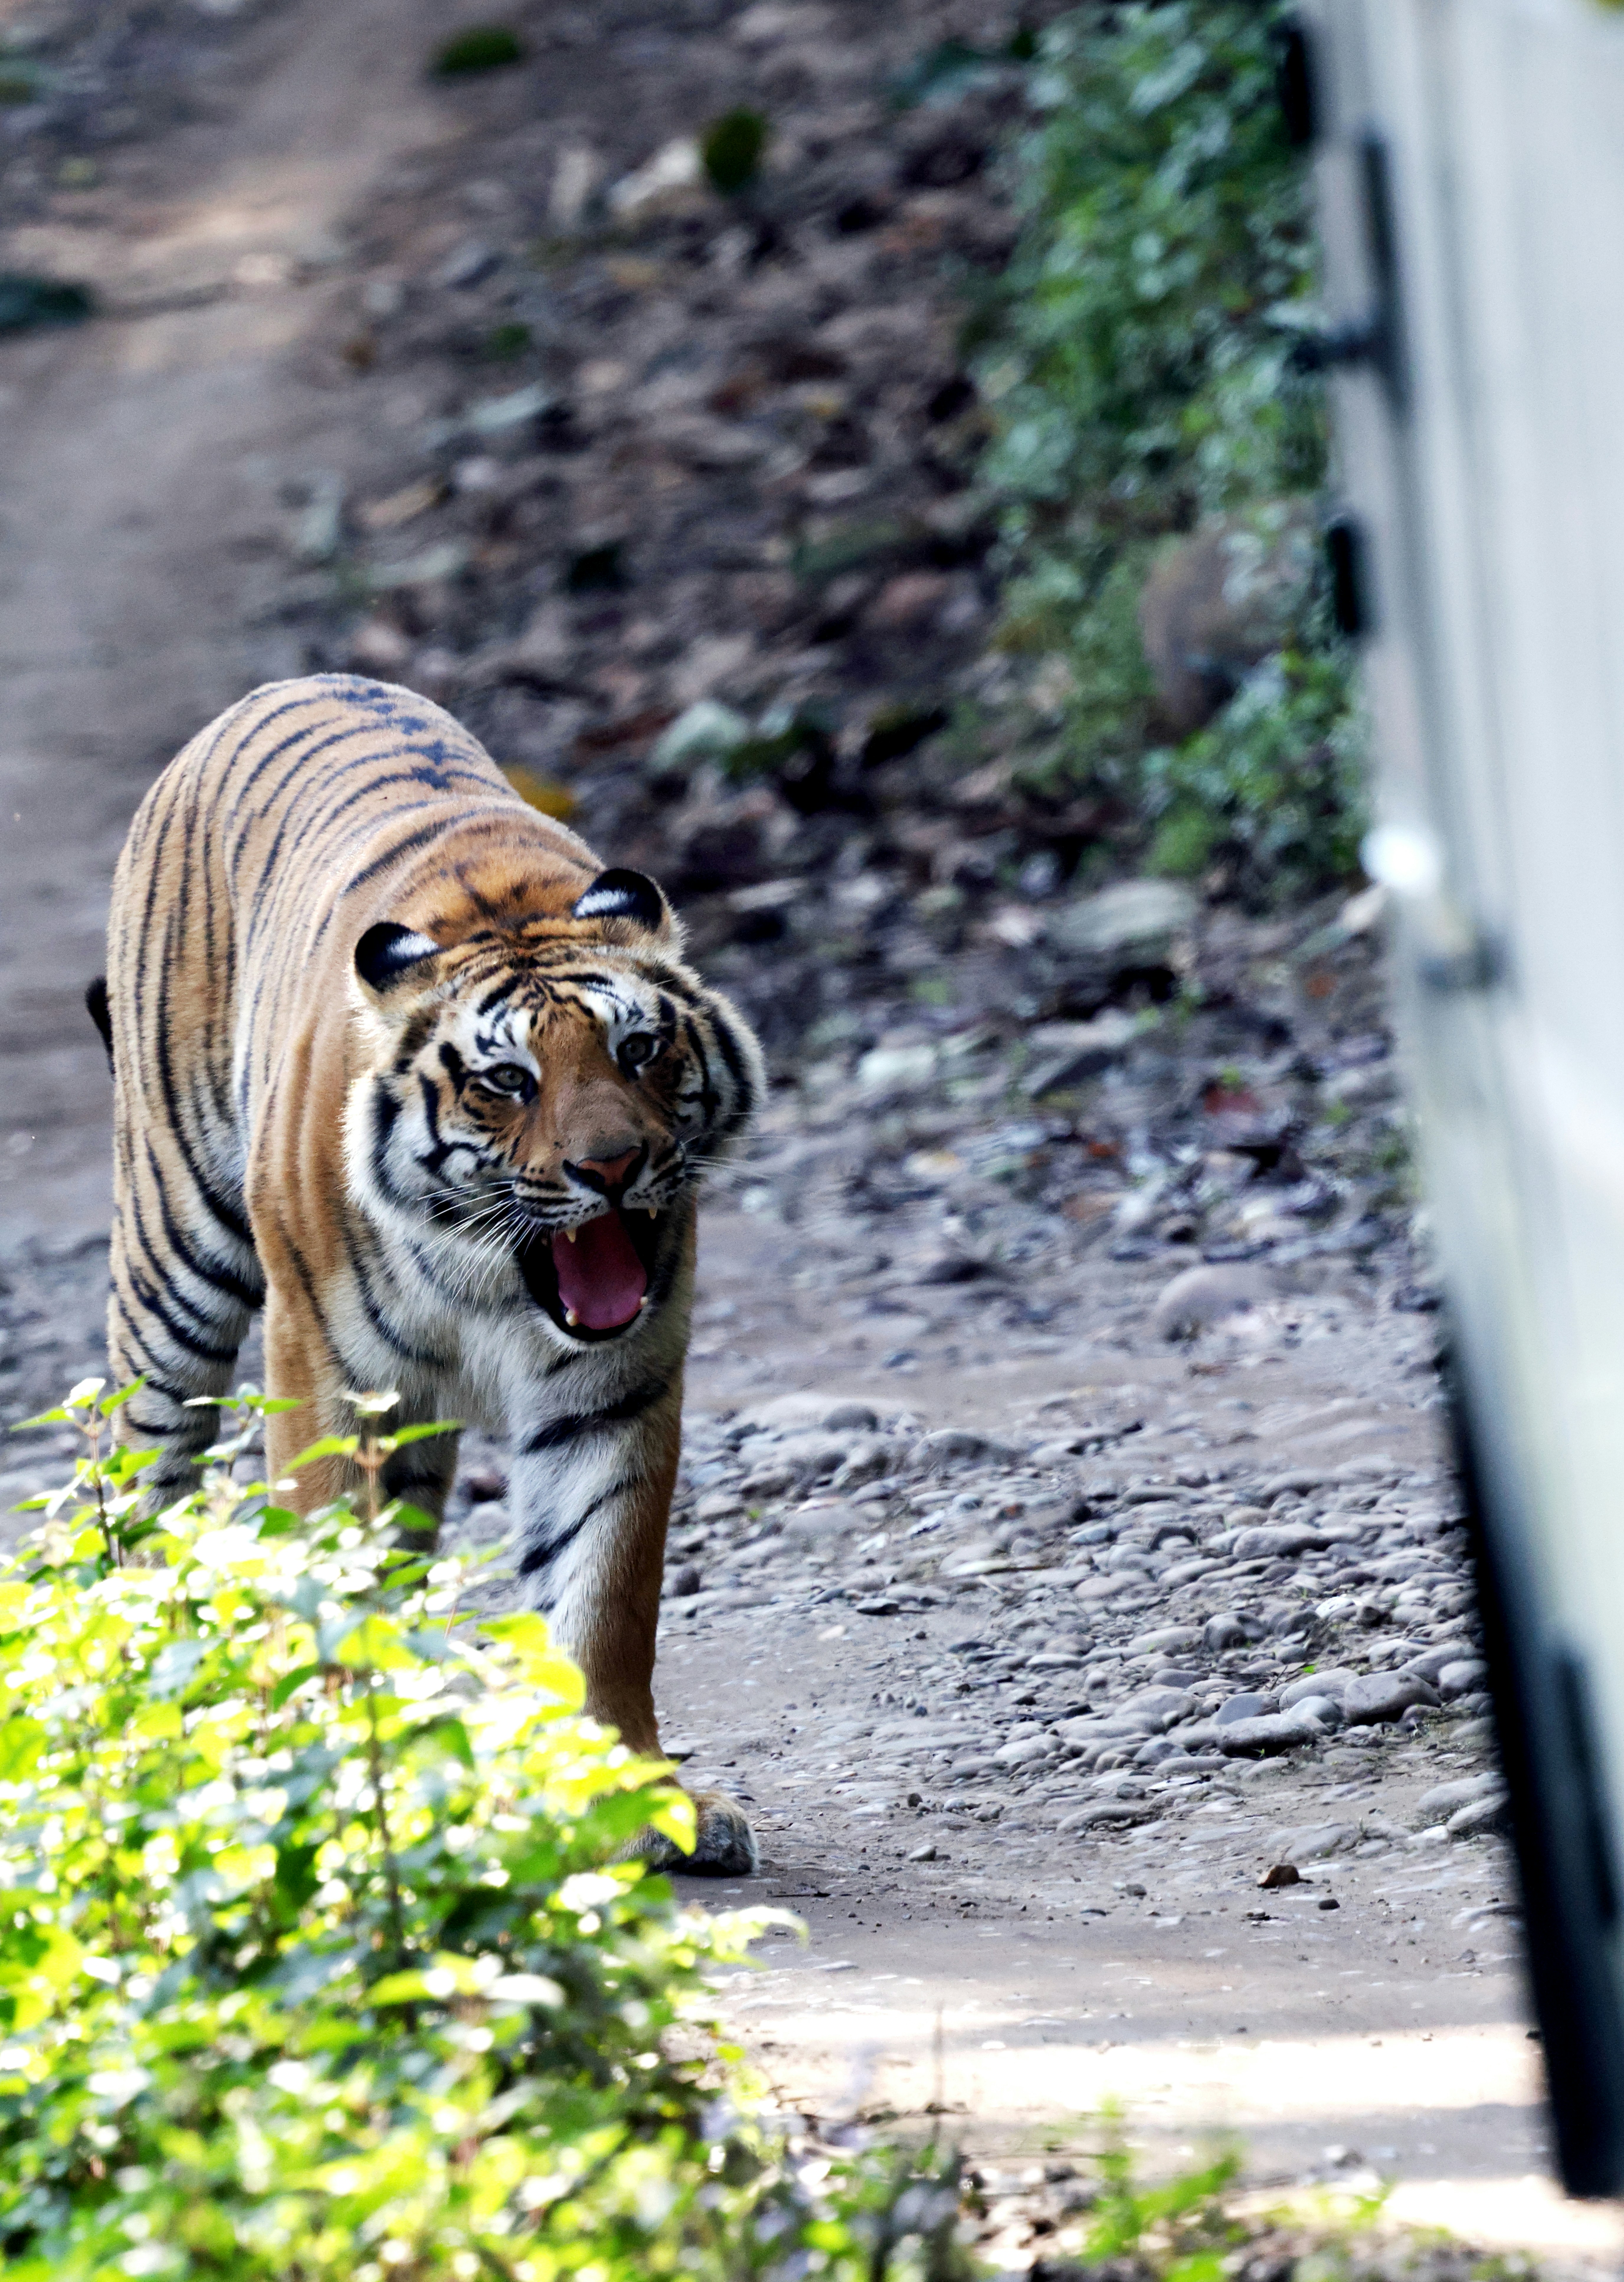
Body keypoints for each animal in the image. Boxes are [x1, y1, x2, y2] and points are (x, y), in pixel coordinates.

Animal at [92, 672, 764, 1875]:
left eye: (639, 1051)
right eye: (507, 1081)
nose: (611, 1167)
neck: (490, 1273)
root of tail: (285, 685)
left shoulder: (614, 1384)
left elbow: (604, 1594)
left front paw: (630, 1795)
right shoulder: (324, 1370)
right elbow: (327, 1567)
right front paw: (338, 1781)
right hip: (174, 1264)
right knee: (143, 1482)